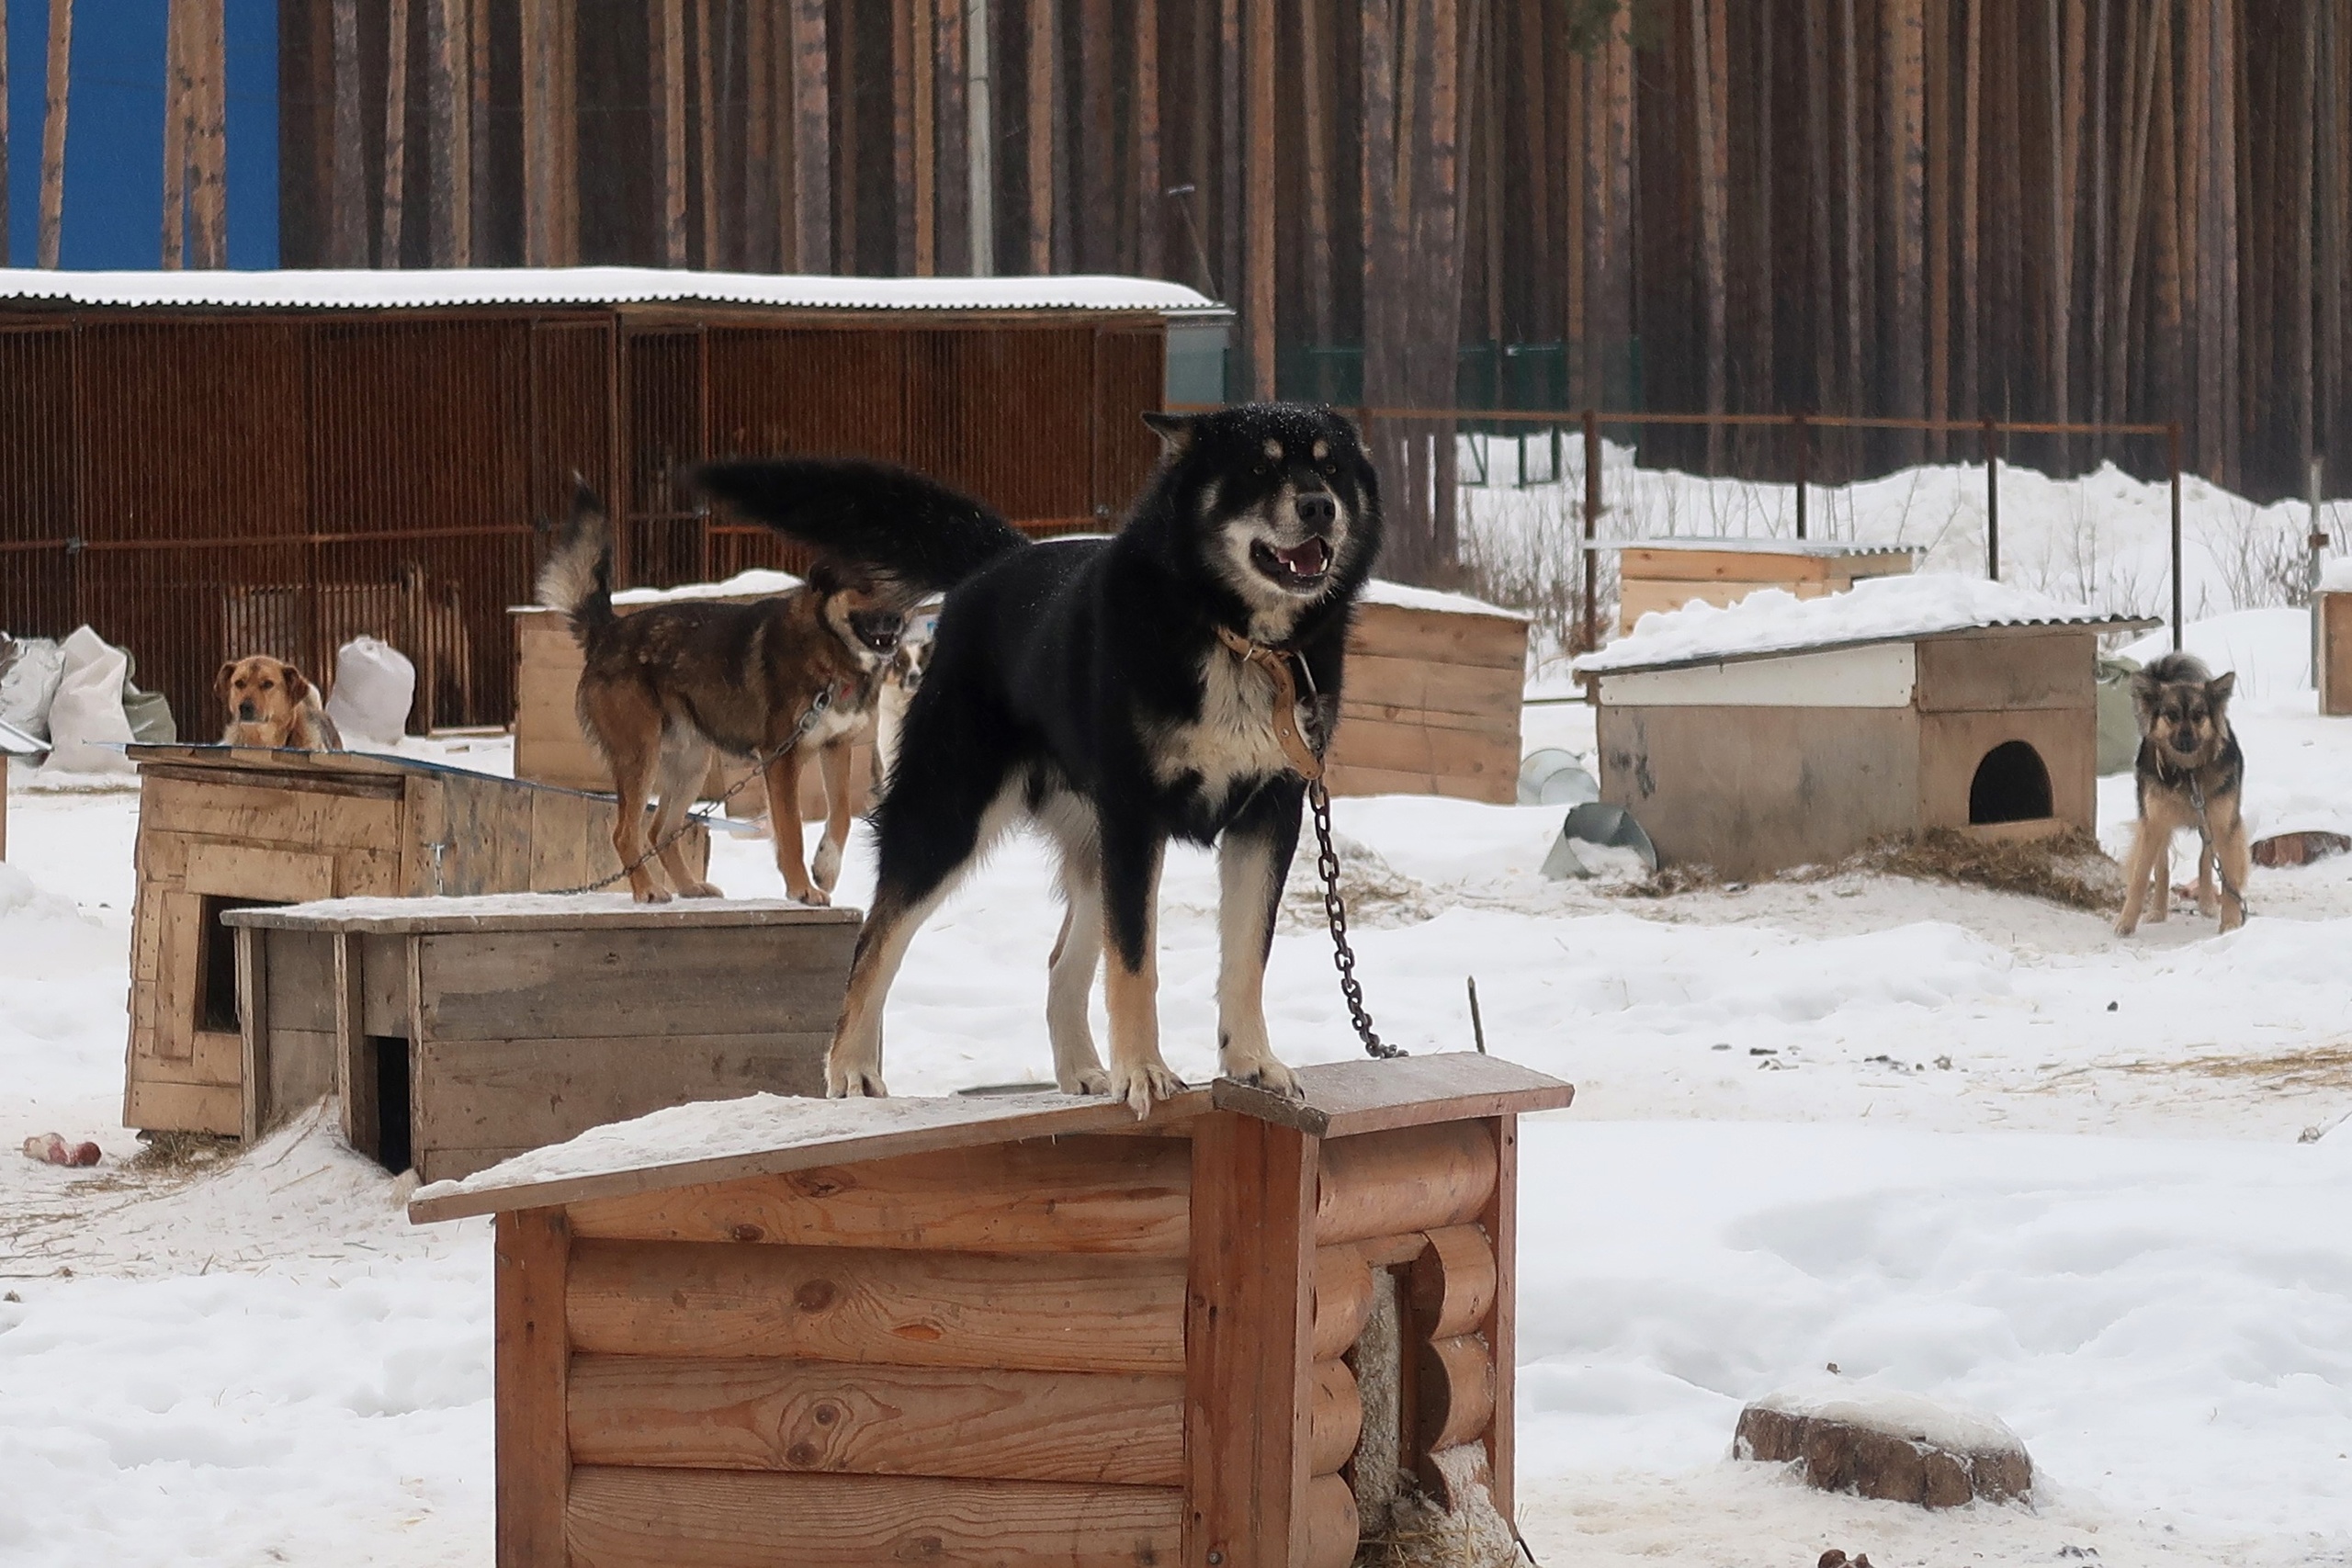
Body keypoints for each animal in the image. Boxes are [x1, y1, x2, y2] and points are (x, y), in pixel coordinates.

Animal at [538, 486, 903, 907]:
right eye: (863, 586)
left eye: (902, 590)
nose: (895, 620)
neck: (831, 652)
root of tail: (607, 633)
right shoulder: (781, 758)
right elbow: (791, 830)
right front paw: (800, 888)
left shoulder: (837, 747)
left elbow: (841, 814)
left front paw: (825, 869)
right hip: (640, 755)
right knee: (625, 833)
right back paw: (647, 889)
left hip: (691, 763)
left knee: (660, 831)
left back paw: (689, 887)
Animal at [2107, 649, 2248, 931]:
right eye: (2171, 714)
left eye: (2199, 714)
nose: (2185, 739)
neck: (2188, 772)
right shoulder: (2153, 824)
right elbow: (2141, 877)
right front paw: (2126, 922)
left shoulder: (2224, 825)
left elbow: (2227, 877)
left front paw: (2229, 924)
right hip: (2160, 822)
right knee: (2162, 867)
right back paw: (2158, 910)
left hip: (2209, 822)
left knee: (2206, 859)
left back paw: (2206, 903)